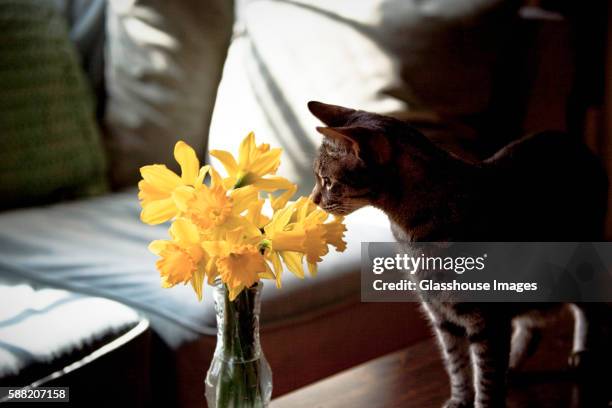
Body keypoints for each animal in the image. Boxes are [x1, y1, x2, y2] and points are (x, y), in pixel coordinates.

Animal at [308, 101, 608, 408]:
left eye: (327, 181)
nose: (313, 200)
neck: (408, 229)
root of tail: (573, 140)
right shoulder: (442, 316)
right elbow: (458, 367)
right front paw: (460, 399)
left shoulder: (486, 319)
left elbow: (486, 379)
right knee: (532, 326)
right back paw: (513, 364)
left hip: (577, 264)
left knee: (592, 307)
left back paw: (582, 353)